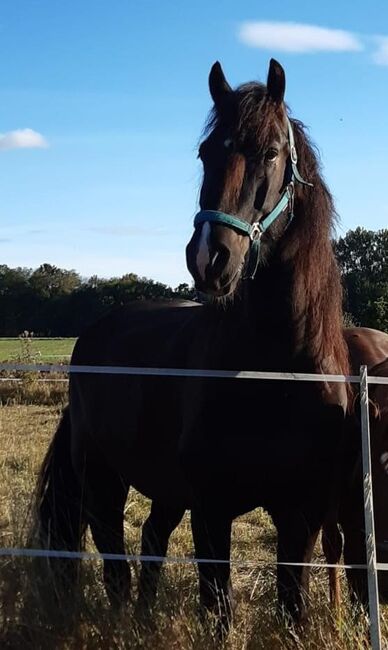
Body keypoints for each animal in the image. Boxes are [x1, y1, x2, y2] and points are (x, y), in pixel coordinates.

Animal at [33, 58, 384, 624]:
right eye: (205, 153)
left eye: (271, 152)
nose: (209, 258)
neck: (274, 371)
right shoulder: (212, 510)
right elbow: (217, 608)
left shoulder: (302, 514)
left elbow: (292, 605)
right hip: (102, 478)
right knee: (114, 560)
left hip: (163, 488)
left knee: (150, 539)